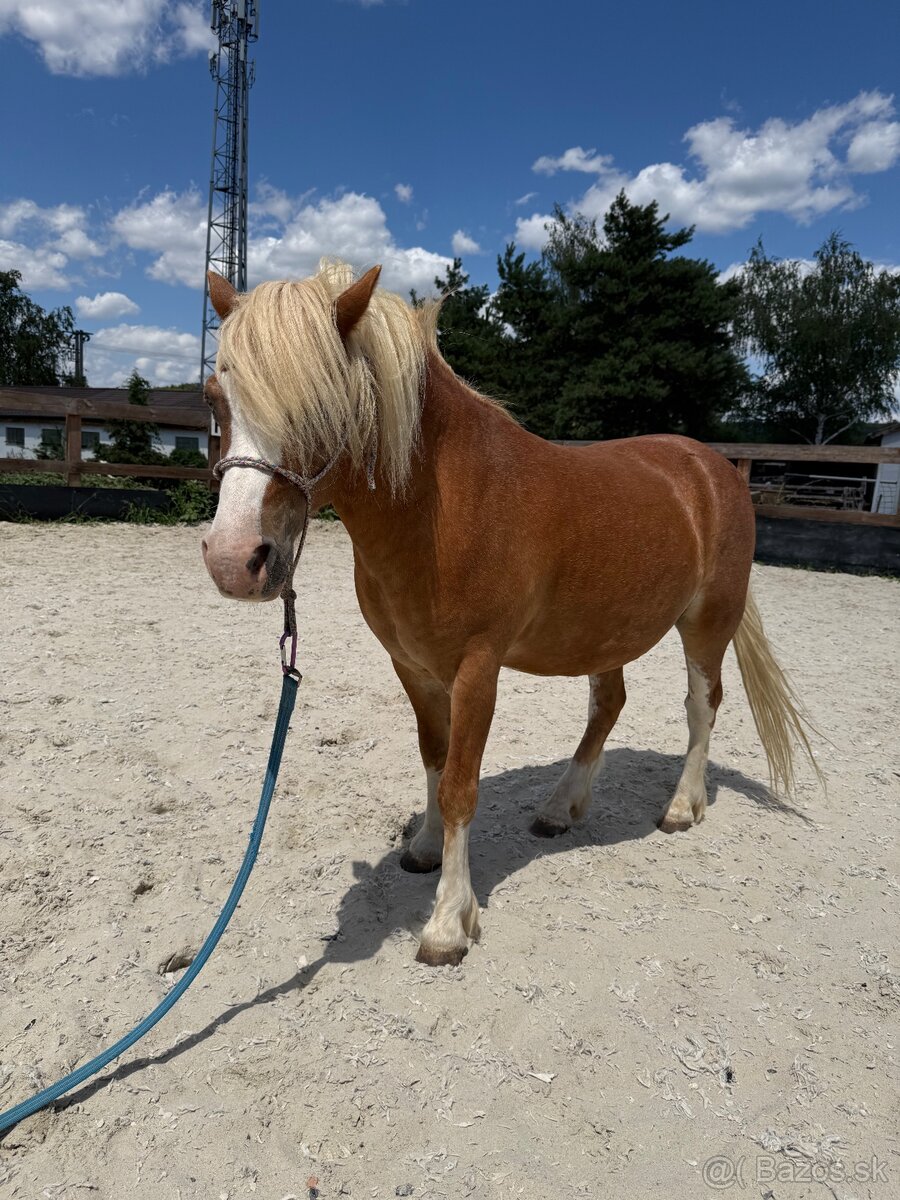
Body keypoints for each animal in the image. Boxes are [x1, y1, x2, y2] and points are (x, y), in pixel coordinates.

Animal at [201, 259, 819, 967]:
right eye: (215, 399)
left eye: (318, 402)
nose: (233, 559)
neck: (443, 502)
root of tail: (715, 468)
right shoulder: (413, 668)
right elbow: (435, 759)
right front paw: (422, 850)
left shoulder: (477, 670)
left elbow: (461, 785)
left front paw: (447, 922)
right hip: (603, 632)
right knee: (609, 705)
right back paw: (560, 808)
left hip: (706, 623)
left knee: (702, 704)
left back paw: (682, 808)